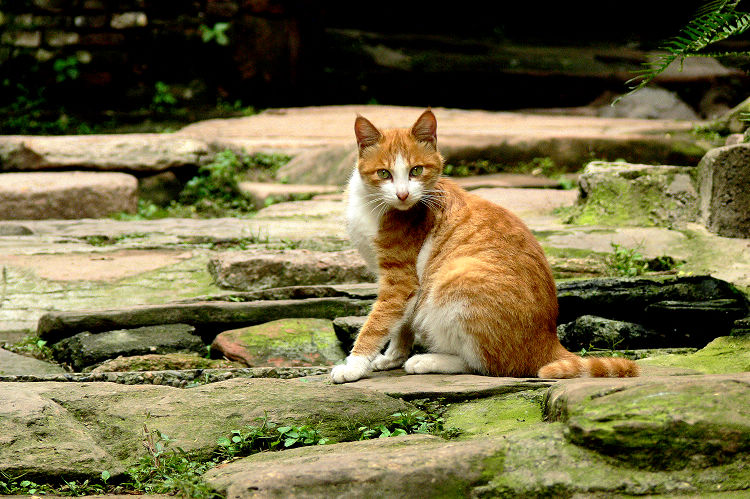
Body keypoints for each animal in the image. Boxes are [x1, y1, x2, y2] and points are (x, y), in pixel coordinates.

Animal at [330, 108, 640, 382]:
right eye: (384, 174)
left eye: (416, 170)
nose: (403, 194)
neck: (372, 206)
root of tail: (548, 341)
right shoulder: (402, 285)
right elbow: (400, 325)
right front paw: (392, 356)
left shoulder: (400, 281)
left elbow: (376, 323)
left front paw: (353, 366)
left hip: (457, 280)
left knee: (486, 364)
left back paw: (427, 360)